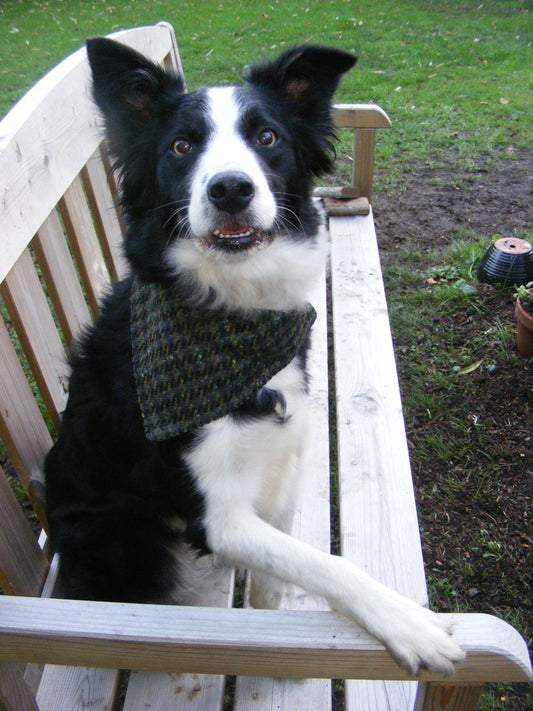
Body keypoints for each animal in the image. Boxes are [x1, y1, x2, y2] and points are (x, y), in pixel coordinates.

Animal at [43, 36, 464, 676]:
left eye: (267, 137)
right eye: (182, 146)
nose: (230, 189)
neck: (236, 315)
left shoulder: (283, 462)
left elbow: (278, 574)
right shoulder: (216, 515)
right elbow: (325, 562)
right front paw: (408, 622)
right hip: (126, 539)